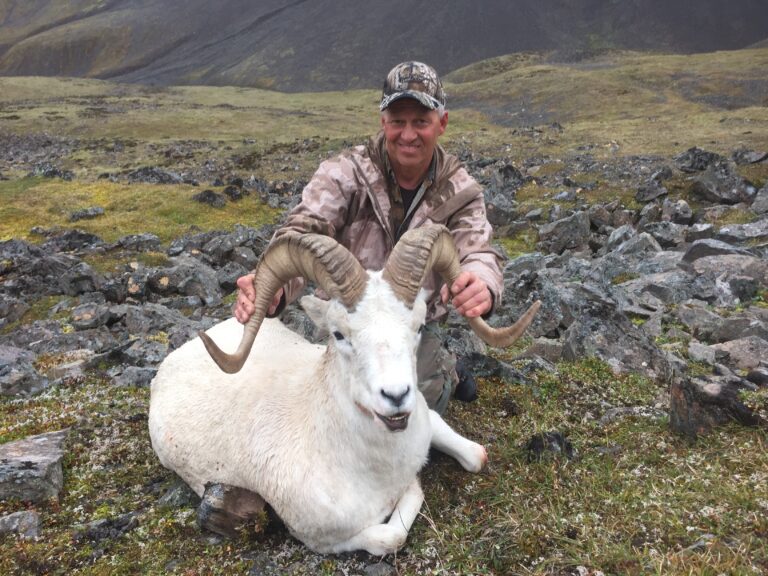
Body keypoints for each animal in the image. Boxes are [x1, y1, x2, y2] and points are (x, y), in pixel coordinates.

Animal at [147, 225, 536, 552]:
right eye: (338, 333)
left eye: (419, 326)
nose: (395, 397)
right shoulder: (321, 539)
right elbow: (391, 535)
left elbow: (476, 456)